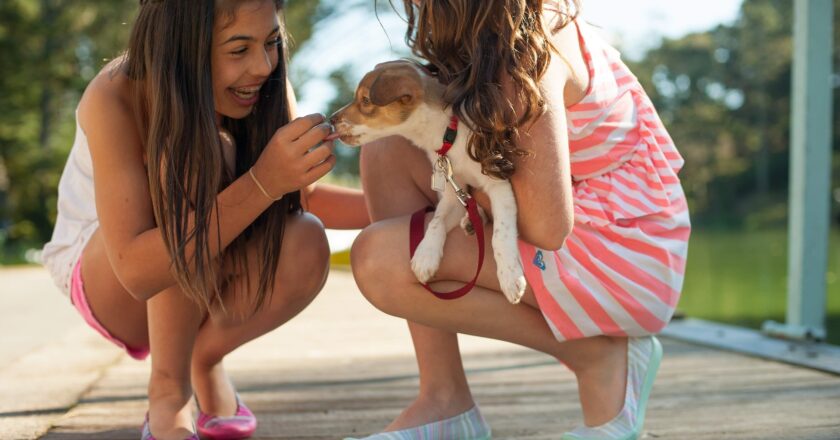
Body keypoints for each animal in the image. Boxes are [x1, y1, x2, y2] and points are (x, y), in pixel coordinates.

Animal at [330, 60, 520, 304]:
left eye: (365, 100)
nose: (331, 119)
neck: (447, 136)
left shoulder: (499, 184)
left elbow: (501, 235)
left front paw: (510, 276)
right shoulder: (452, 190)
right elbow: (437, 219)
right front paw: (425, 255)